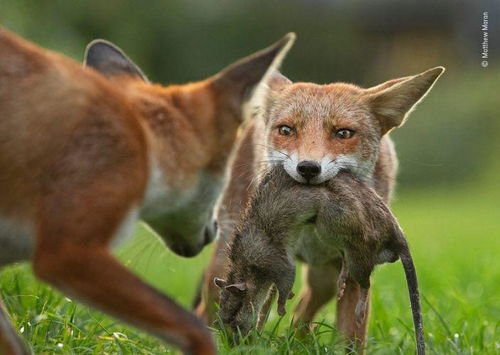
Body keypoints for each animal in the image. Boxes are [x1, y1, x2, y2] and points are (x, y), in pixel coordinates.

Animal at [195, 64, 446, 348]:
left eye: (343, 133)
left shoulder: (353, 264)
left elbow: (350, 338)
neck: (310, 230)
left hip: (325, 279)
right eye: (286, 130)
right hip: (224, 260)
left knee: (302, 313)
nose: (307, 168)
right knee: (208, 308)